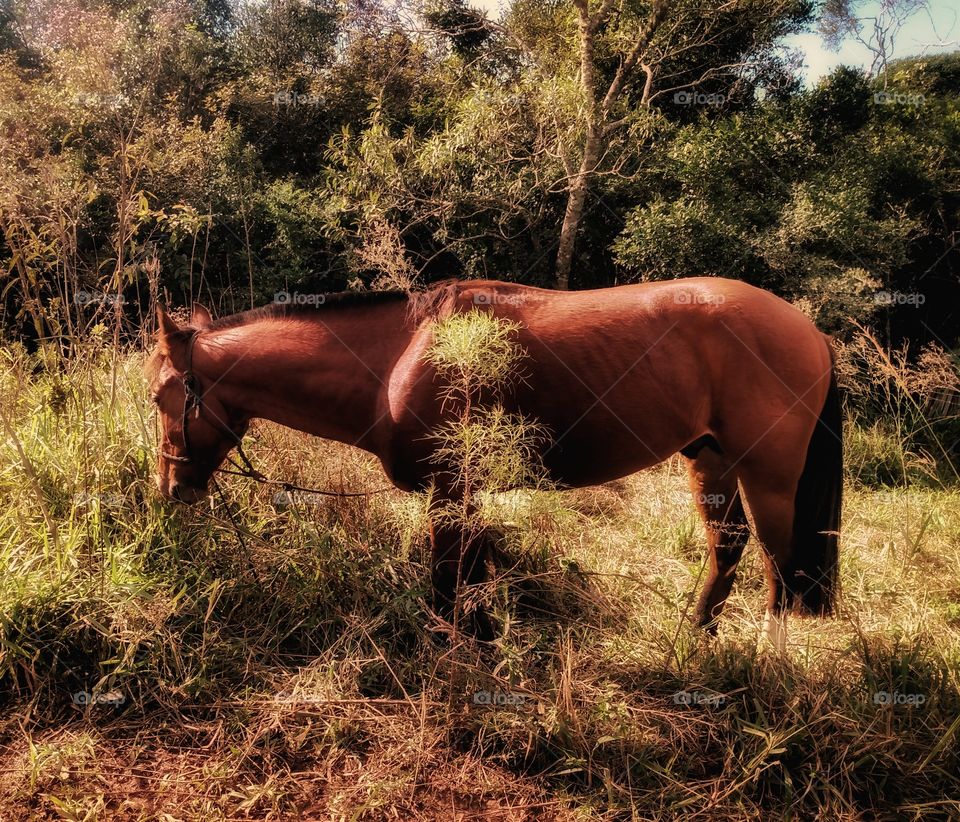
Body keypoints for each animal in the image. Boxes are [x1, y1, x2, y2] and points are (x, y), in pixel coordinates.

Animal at [146, 278, 842, 648]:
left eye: (159, 396)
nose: (173, 487)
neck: (397, 360)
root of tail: (809, 329)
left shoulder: (449, 491)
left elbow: (444, 581)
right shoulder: (467, 492)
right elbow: (474, 572)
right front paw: (483, 637)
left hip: (769, 477)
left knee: (780, 568)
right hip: (711, 461)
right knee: (728, 548)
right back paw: (692, 640)